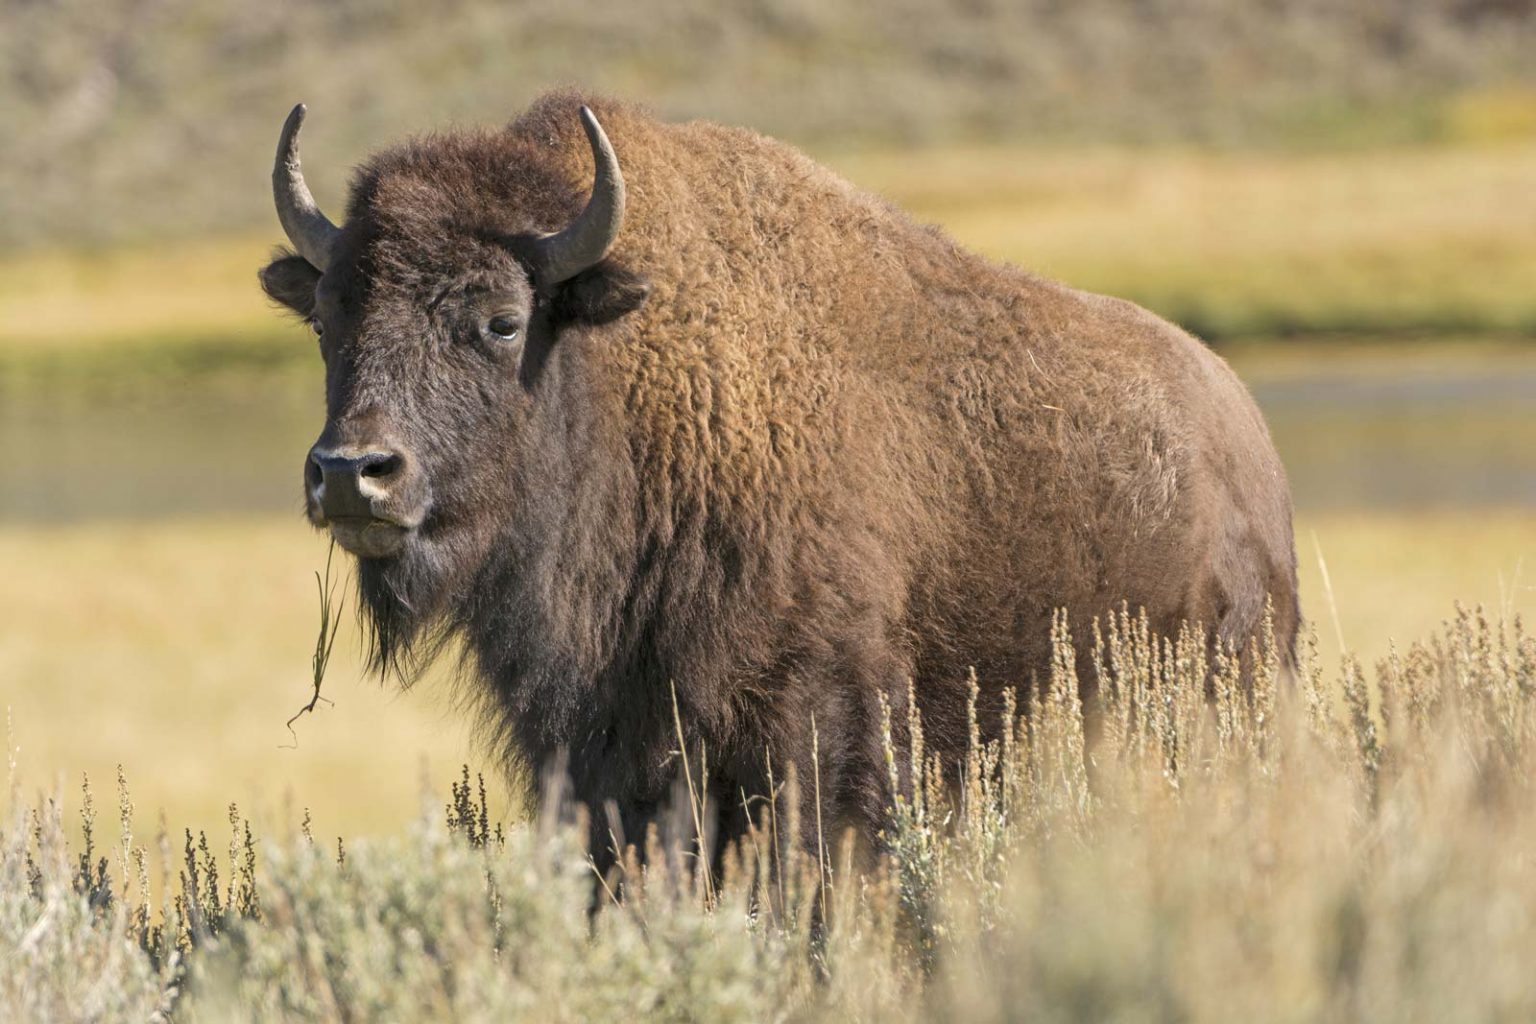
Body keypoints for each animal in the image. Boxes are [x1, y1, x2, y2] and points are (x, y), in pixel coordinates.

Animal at [261, 94, 1296, 865]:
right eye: (327, 316)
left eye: (503, 320)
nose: (353, 473)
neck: (632, 377)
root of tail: (1247, 440)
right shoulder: (605, 758)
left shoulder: (811, 736)